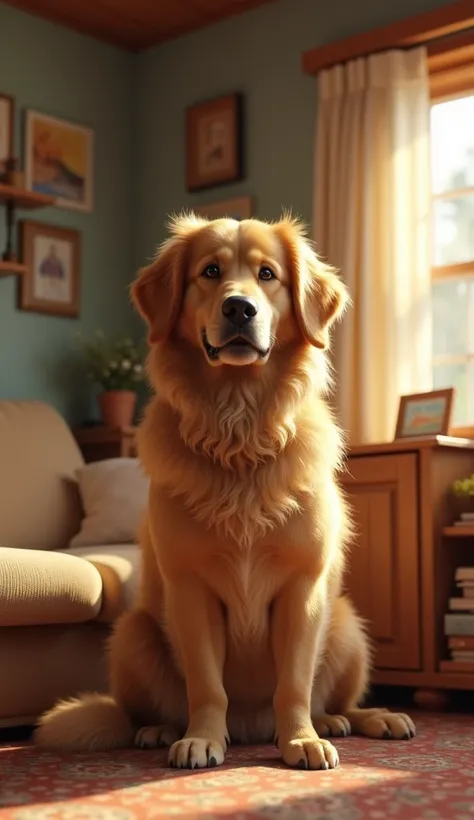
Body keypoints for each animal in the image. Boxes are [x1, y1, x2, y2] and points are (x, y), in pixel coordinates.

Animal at [34, 211, 414, 768]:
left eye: (267, 275)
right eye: (210, 272)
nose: (239, 308)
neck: (240, 426)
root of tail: (252, 727)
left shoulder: (302, 588)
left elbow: (294, 684)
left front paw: (300, 739)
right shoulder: (191, 588)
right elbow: (207, 685)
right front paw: (203, 738)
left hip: (347, 625)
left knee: (334, 700)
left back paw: (360, 719)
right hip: (133, 633)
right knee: (137, 714)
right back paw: (161, 730)